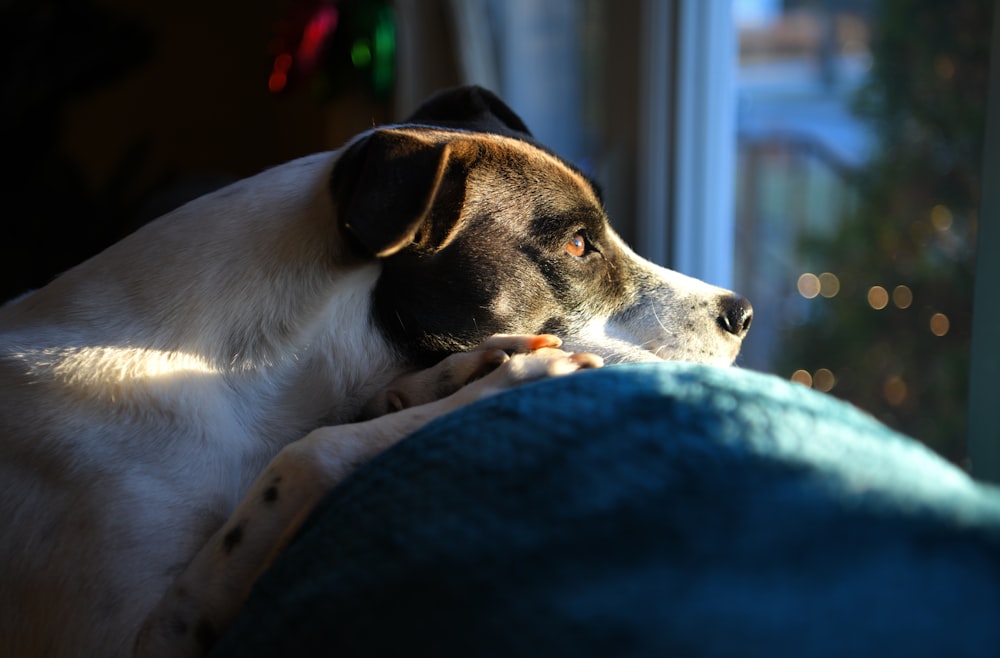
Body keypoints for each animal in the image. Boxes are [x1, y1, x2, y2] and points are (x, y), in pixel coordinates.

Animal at [0, 86, 752, 656]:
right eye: (576, 244)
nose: (743, 313)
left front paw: (448, 380)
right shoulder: (135, 638)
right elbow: (308, 453)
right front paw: (497, 383)